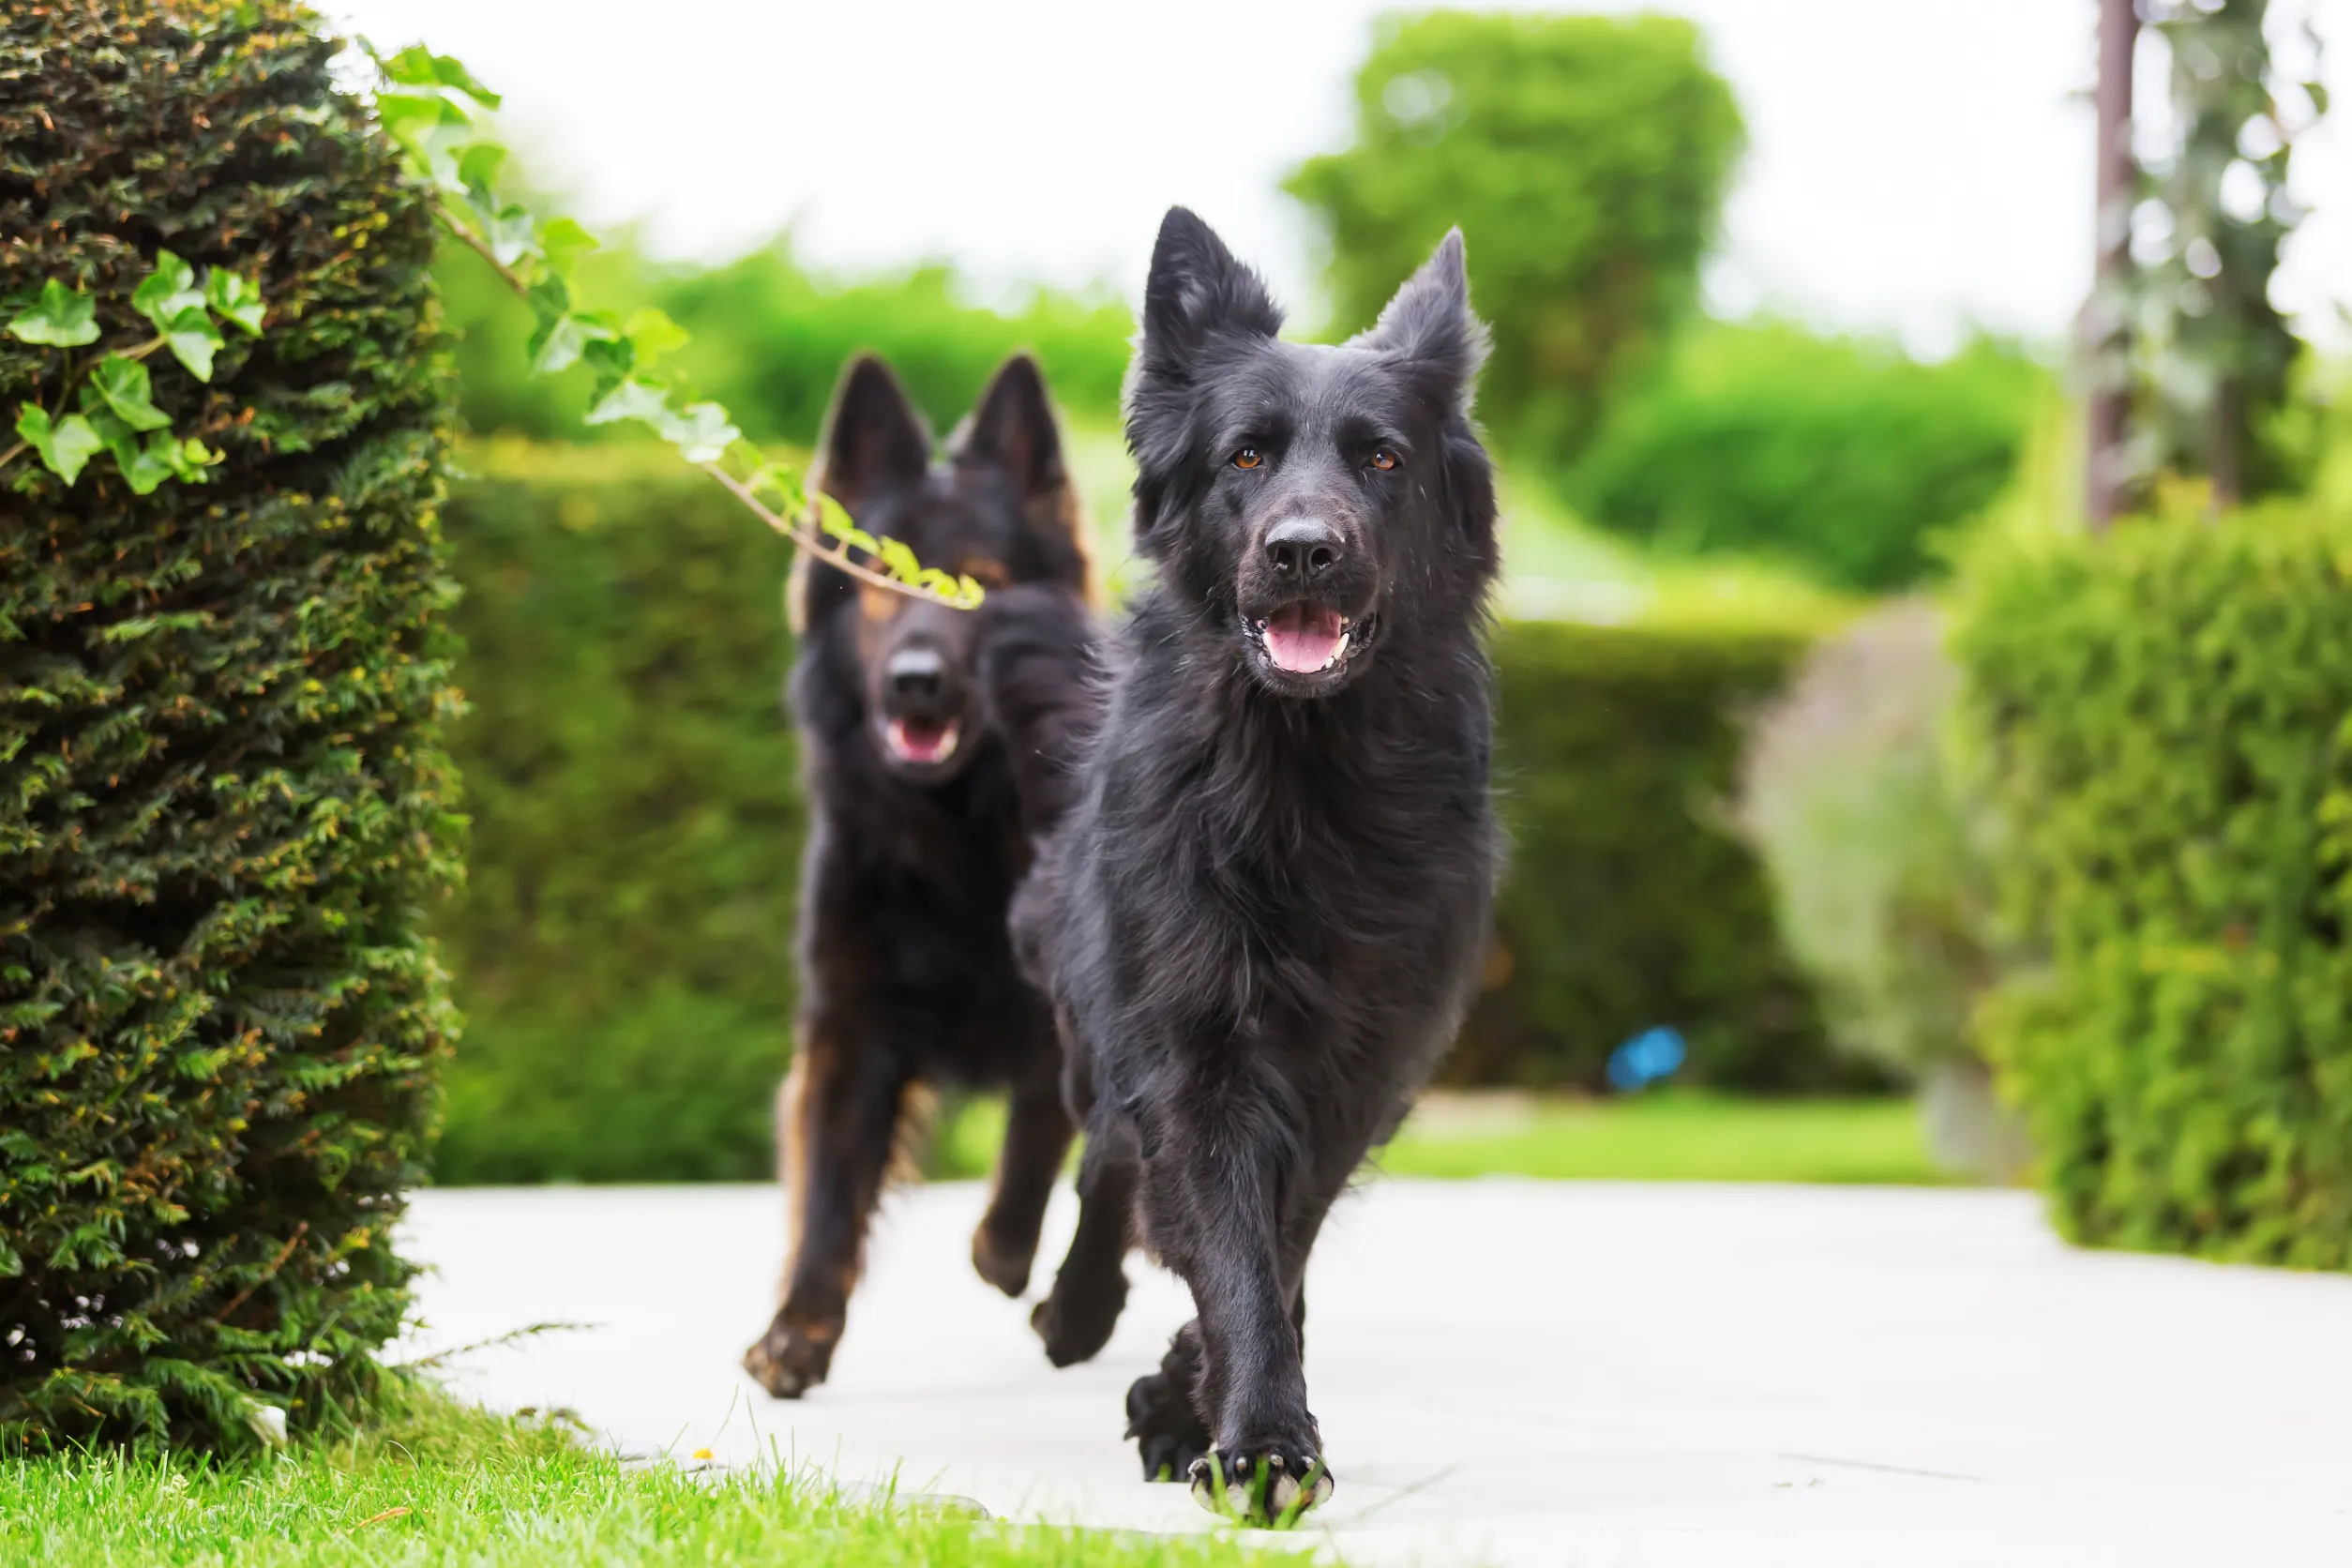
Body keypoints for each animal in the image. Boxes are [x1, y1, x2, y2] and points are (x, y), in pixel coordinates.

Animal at [738, 353, 1095, 1401]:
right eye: (881, 581)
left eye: (980, 586)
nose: (916, 681)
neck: (959, 839)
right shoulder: (852, 1023)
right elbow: (827, 1192)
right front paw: (798, 1331)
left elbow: (1034, 1138)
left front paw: (1005, 1251)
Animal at [1006, 211, 1486, 1523]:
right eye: (1247, 456)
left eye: (1382, 461)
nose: (1304, 552)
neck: (1302, 778)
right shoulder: (1196, 1041)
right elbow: (1226, 1231)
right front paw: (1260, 1435)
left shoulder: (1363, 1063)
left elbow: (1281, 1236)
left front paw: (1194, 1400)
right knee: (1106, 1160)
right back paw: (1074, 1313)